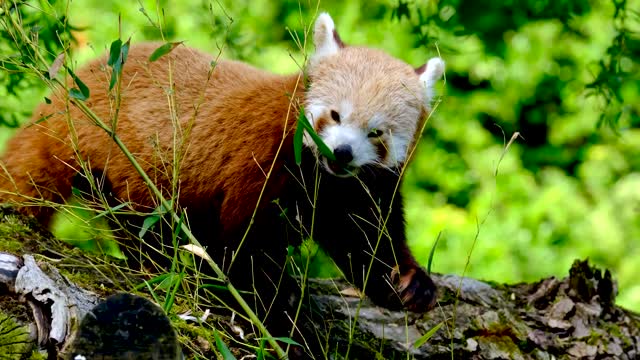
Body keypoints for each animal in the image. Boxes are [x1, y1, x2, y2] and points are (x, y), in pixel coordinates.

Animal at [0, 11, 444, 352]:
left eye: (376, 133)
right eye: (334, 115)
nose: (342, 153)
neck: (321, 178)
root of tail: (72, 91)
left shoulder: (359, 189)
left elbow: (367, 242)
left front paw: (409, 283)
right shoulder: (265, 165)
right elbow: (246, 248)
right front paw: (278, 311)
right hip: (116, 158)